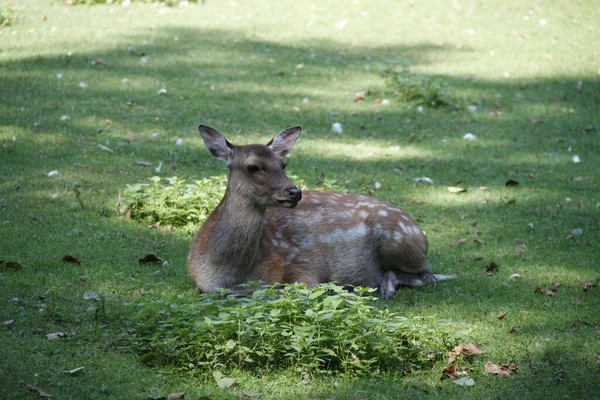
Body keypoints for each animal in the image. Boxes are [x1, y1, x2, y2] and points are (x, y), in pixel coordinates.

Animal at [188, 126, 454, 298]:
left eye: (283, 164)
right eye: (252, 167)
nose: (294, 192)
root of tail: (420, 232)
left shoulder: (303, 265)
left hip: (400, 240)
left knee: (428, 275)